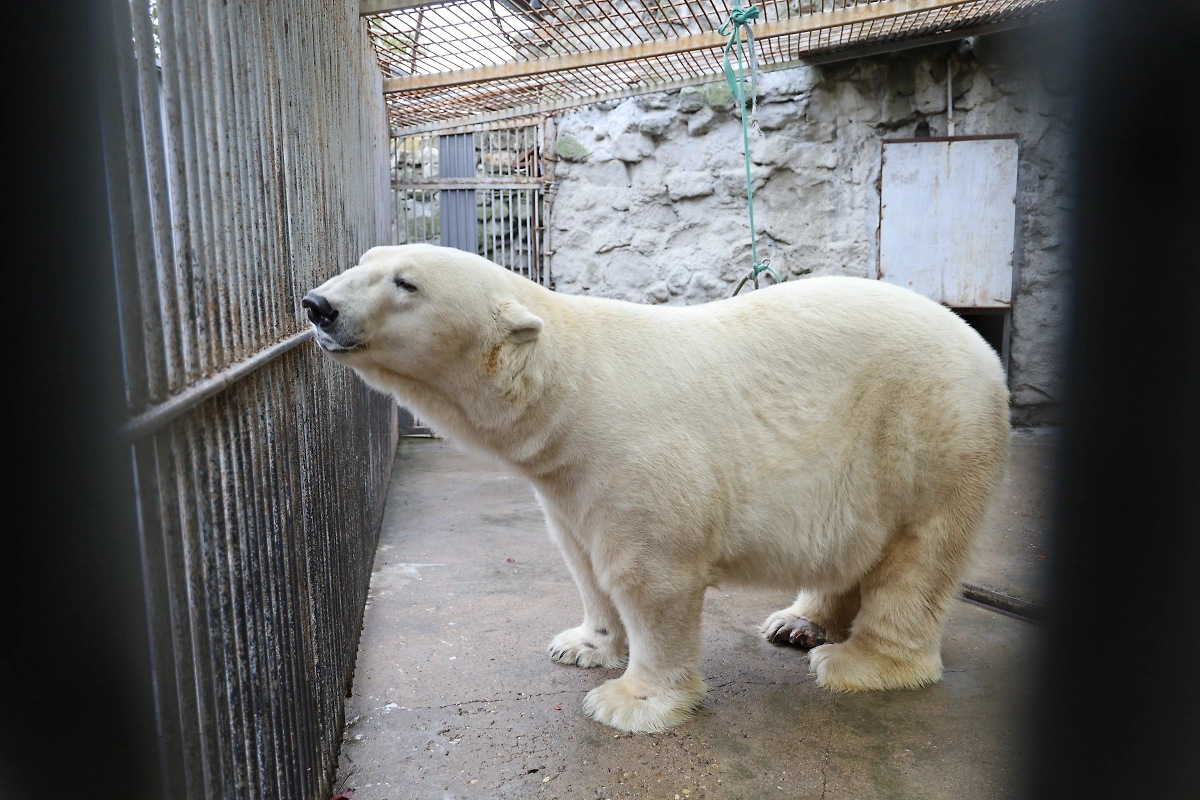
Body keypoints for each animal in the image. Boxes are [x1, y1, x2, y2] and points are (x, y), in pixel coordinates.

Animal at [304, 242, 1008, 734]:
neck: (572, 391)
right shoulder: (566, 480)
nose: (317, 305)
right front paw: (582, 646)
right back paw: (795, 624)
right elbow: (582, 560)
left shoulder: (638, 453)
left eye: (407, 282)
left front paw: (630, 703)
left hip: (929, 432)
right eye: (364, 261)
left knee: (919, 553)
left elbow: (649, 574)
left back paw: (859, 663)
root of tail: (980, 345)